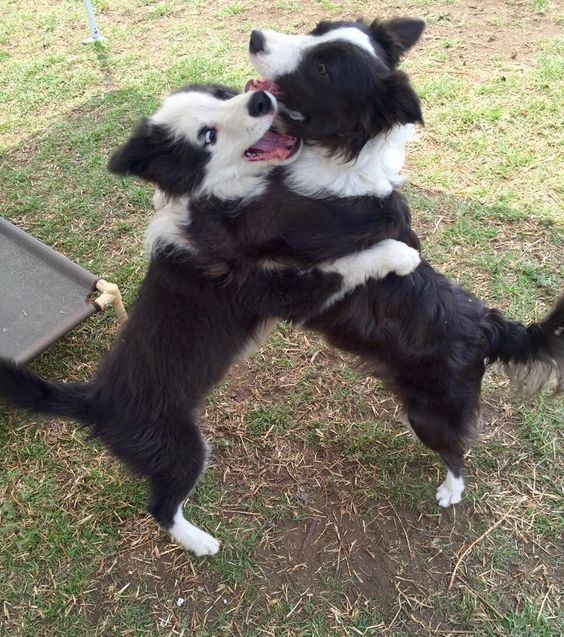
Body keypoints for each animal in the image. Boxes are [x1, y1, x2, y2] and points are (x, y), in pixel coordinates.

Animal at [0, 83, 420, 552]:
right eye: (208, 136)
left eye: (221, 94)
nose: (261, 99)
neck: (218, 201)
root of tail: (95, 398)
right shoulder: (274, 290)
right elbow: (341, 268)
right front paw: (398, 254)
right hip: (178, 448)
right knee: (161, 506)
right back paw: (200, 542)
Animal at [246, 16, 564, 506]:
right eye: (317, 28)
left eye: (322, 69)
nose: (256, 37)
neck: (335, 159)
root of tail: (488, 326)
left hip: (430, 410)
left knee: (456, 450)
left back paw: (451, 490)